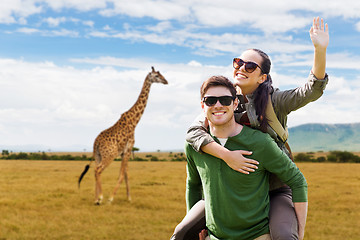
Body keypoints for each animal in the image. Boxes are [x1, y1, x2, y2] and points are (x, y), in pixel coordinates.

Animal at [78, 66, 168, 203]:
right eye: (156, 75)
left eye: (161, 74)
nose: (166, 81)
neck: (134, 121)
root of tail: (96, 143)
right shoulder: (128, 149)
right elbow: (121, 175)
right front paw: (111, 198)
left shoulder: (124, 152)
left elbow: (126, 174)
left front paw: (129, 198)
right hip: (109, 155)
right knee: (98, 170)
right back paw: (101, 197)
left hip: (98, 155)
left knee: (95, 170)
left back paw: (96, 198)